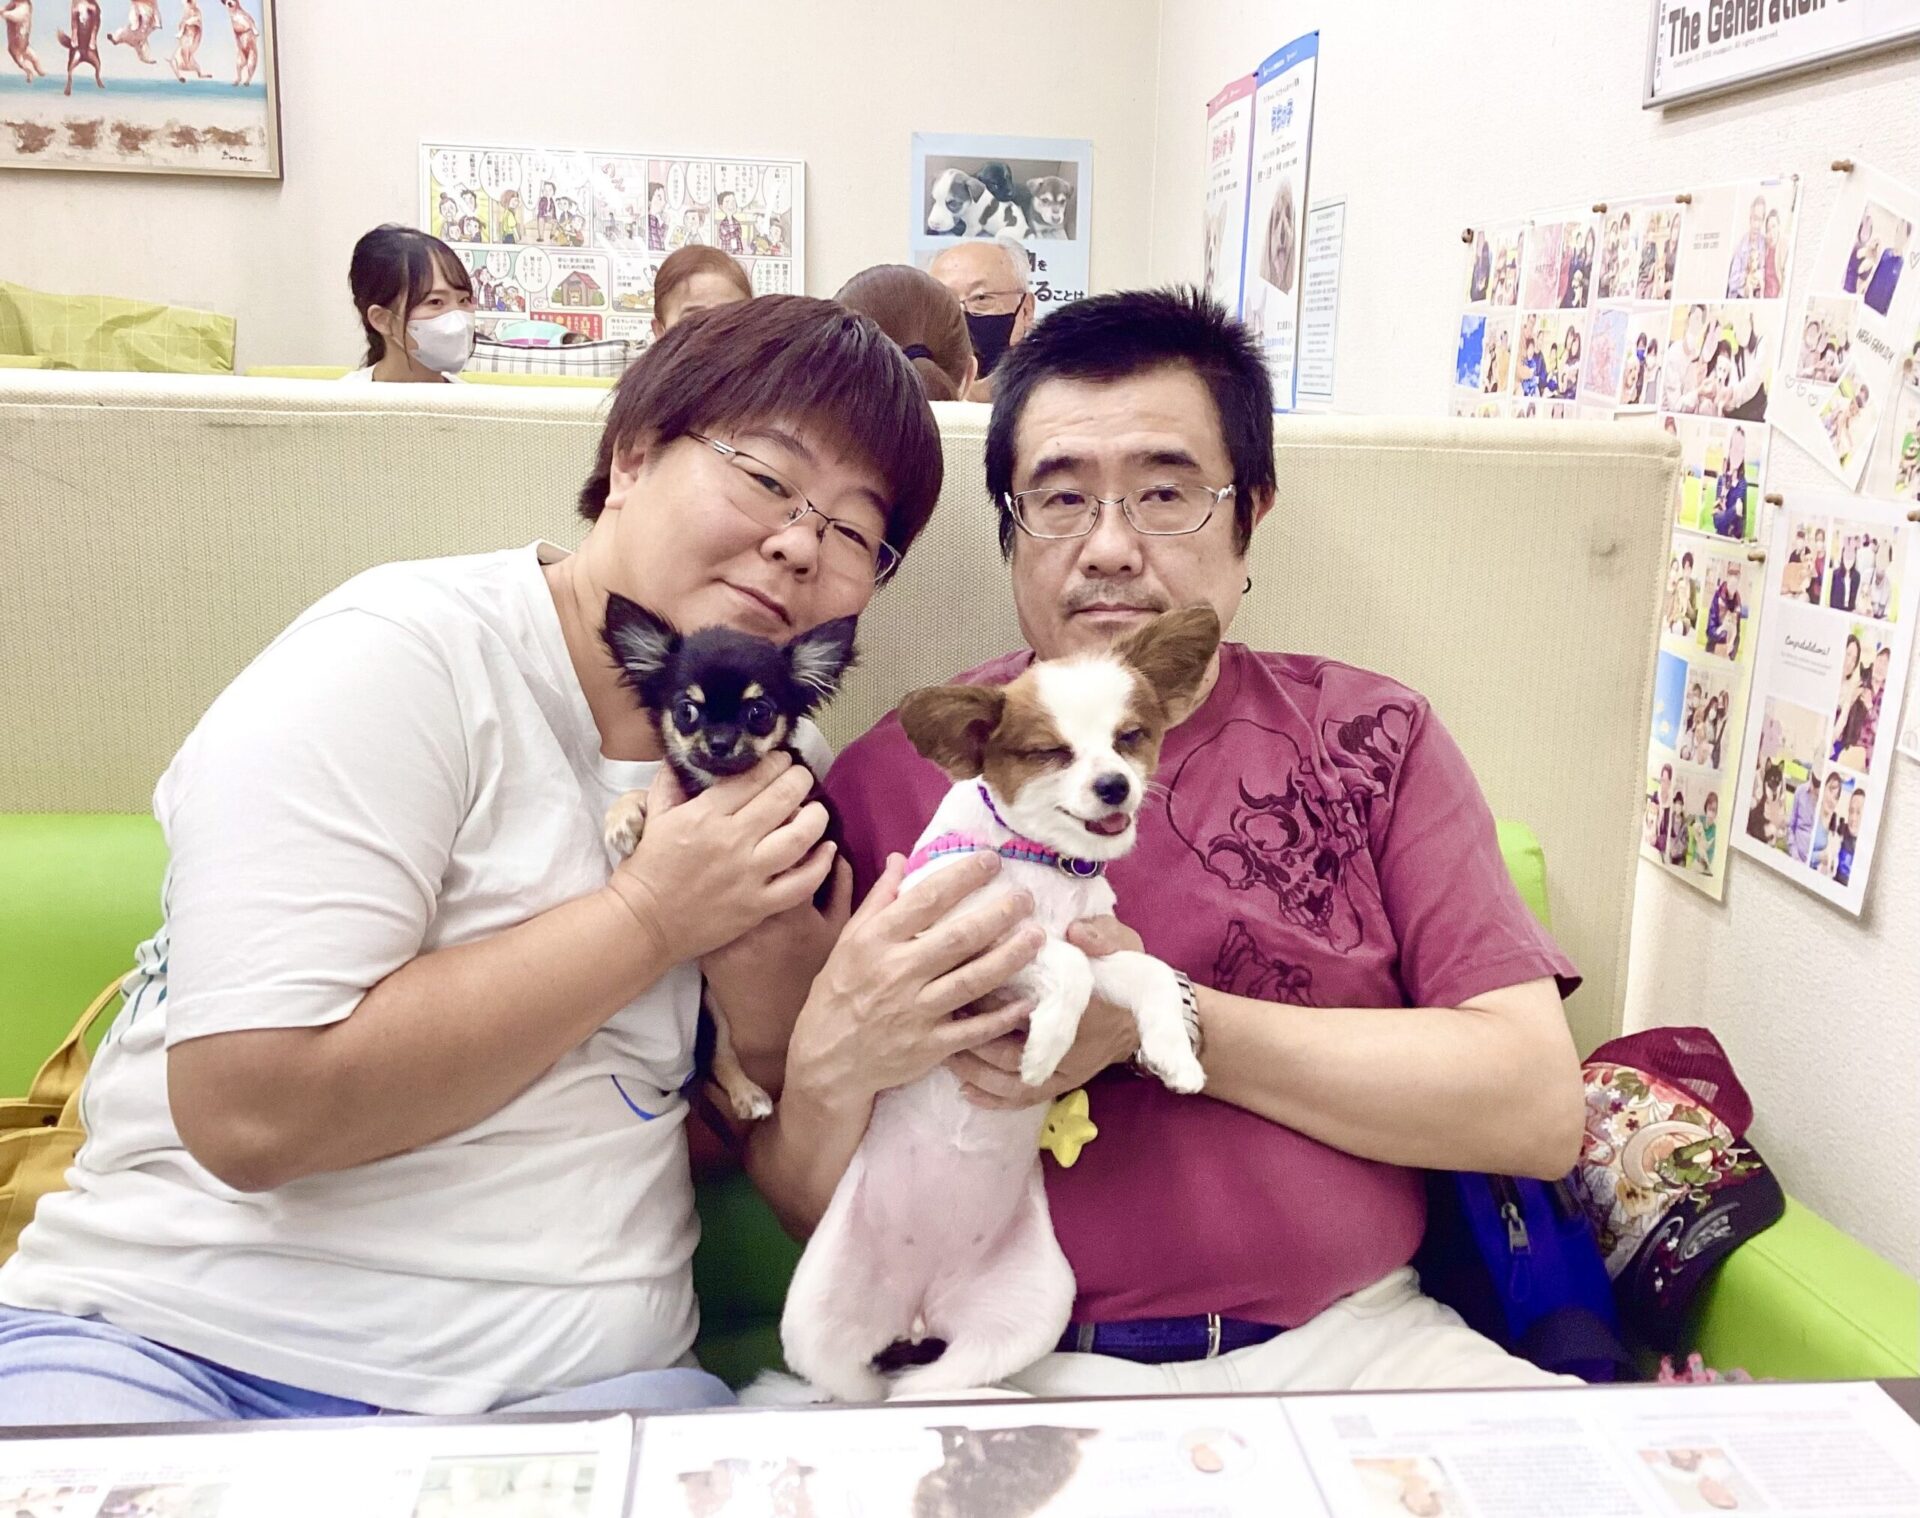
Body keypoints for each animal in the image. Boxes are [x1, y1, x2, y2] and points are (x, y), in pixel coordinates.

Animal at [599, 593, 859, 1121]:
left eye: (759, 712)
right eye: (686, 712)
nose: (719, 743)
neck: (717, 788)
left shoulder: (819, 827)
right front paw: (624, 817)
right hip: (712, 1008)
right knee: (721, 1055)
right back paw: (746, 1094)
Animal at [777, 607, 1220, 1402]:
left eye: (1131, 737)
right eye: (1050, 753)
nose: (1114, 786)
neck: (1042, 865)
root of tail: (920, 1305)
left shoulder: (1096, 942)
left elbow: (1139, 971)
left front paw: (1174, 1056)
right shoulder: (957, 933)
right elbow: (1060, 963)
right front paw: (1043, 1051)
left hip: (1028, 1311)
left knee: (921, 1390)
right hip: (817, 1321)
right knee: (854, 1391)